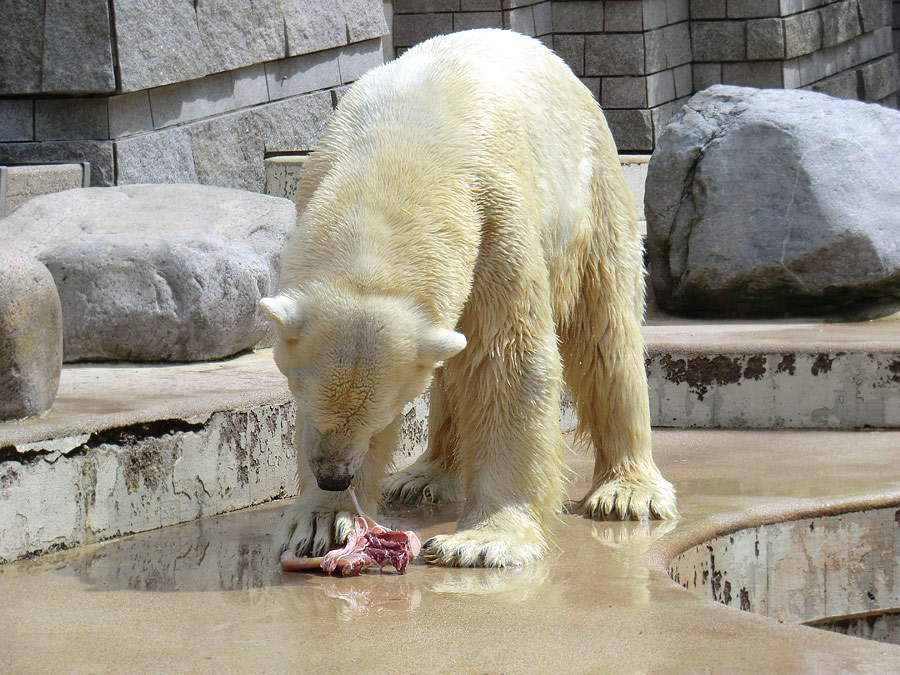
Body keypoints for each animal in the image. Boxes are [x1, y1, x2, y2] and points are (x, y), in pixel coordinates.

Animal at [260, 29, 676, 568]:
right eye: (299, 392)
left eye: (382, 415)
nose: (334, 474)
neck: (398, 155)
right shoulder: (315, 181)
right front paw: (320, 520)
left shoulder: (495, 216)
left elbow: (509, 361)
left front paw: (483, 541)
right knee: (453, 367)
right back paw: (420, 477)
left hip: (594, 194)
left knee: (606, 332)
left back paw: (627, 491)